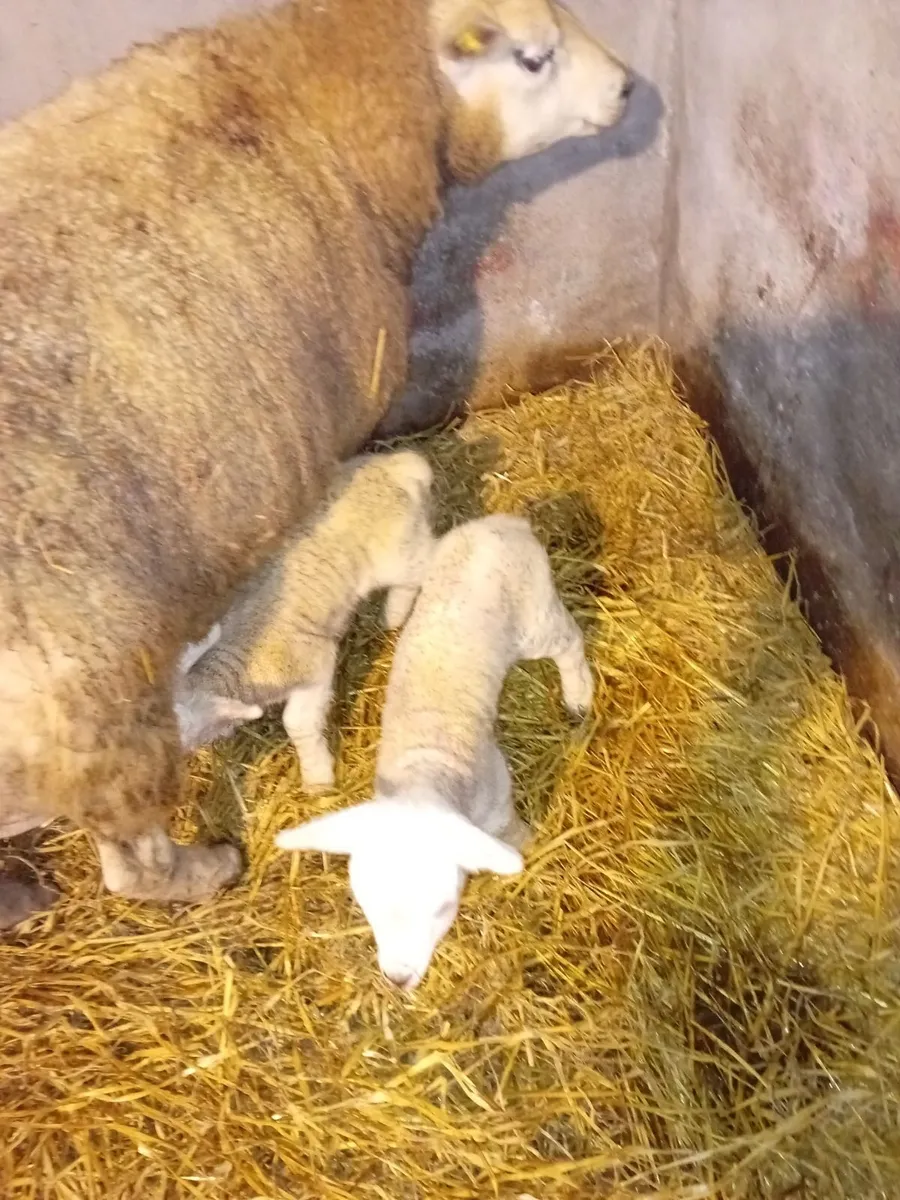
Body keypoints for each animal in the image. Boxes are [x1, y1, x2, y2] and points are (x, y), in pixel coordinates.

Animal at [174, 450, 436, 790]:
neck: (239, 661)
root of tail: (394, 466)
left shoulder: (314, 662)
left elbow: (296, 722)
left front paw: (317, 776)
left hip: (395, 553)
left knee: (429, 557)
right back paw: (394, 614)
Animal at [276, 513, 594, 990]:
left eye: (441, 908)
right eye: (367, 904)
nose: (398, 978)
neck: (423, 771)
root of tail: (505, 522)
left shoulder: (498, 796)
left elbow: (510, 835)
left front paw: (525, 846)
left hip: (536, 617)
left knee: (570, 641)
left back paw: (579, 695)